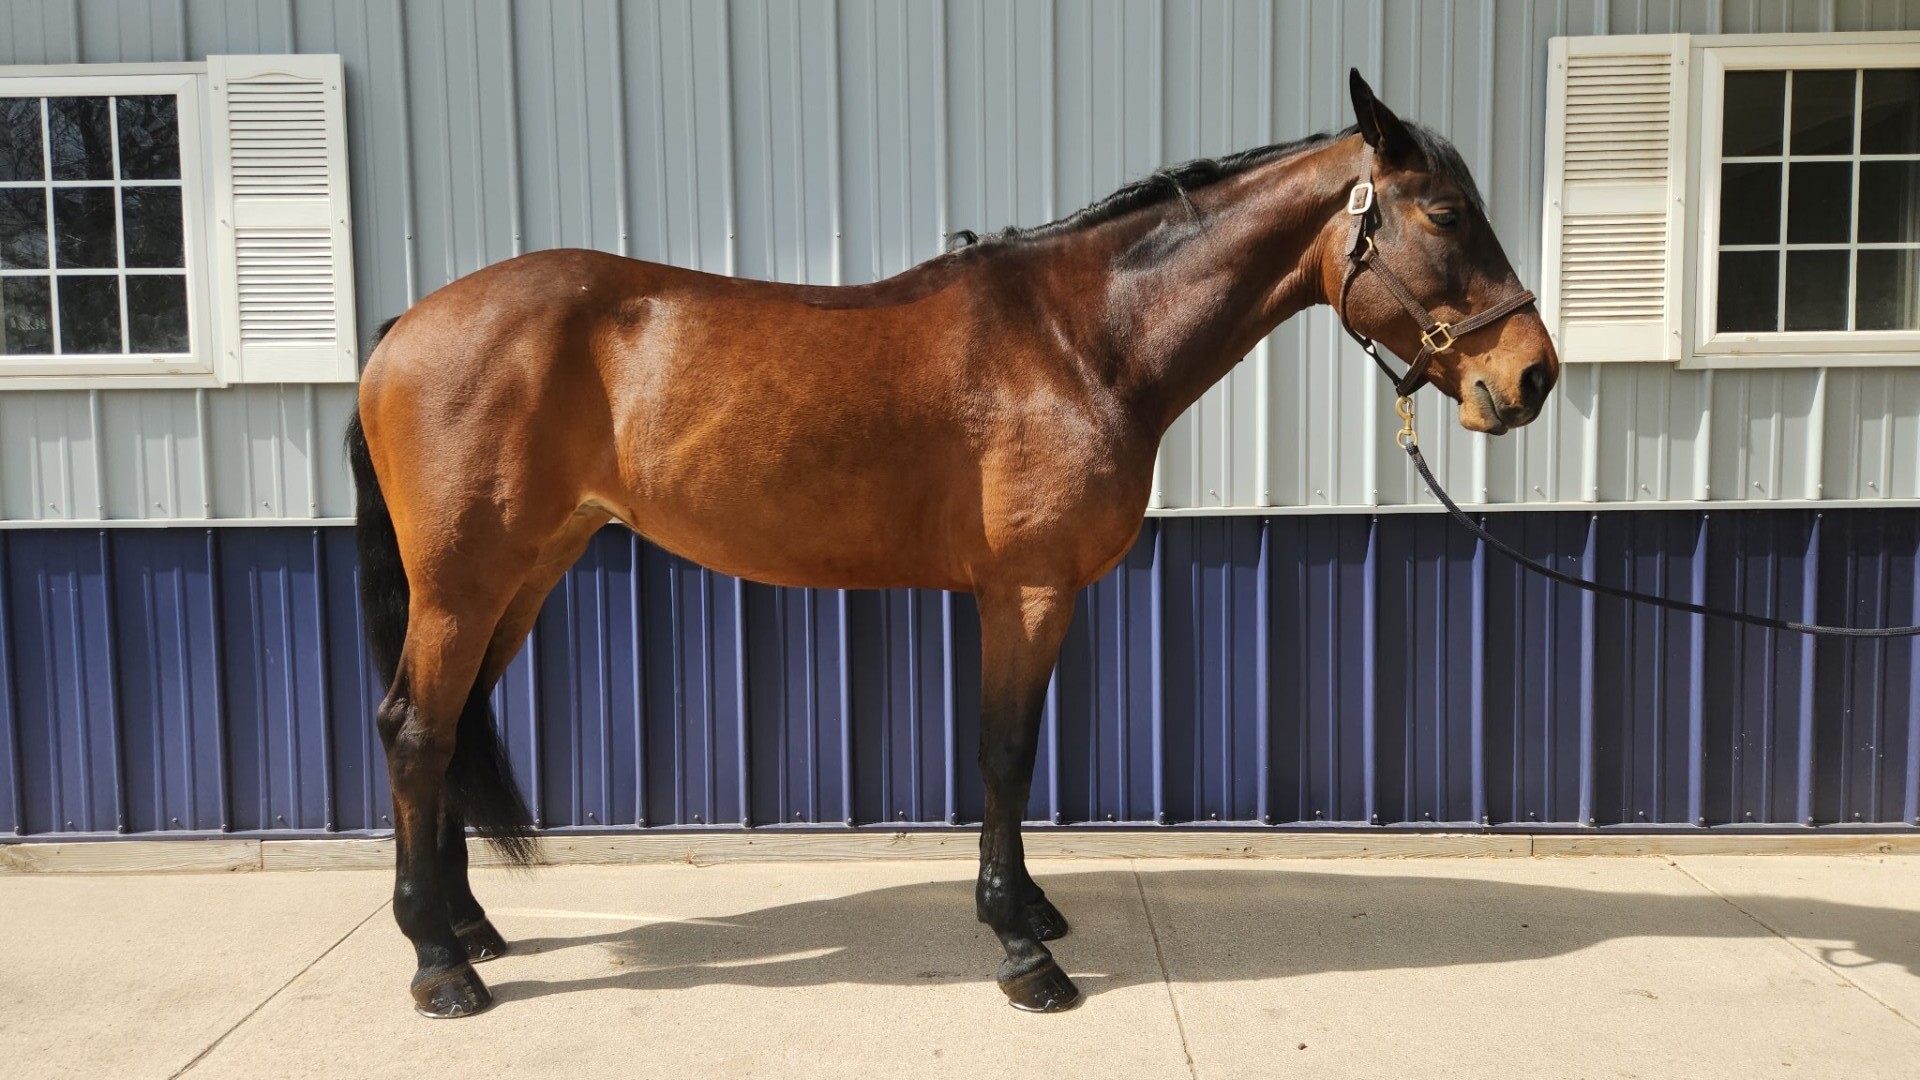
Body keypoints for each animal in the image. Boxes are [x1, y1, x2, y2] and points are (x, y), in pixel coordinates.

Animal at [344, 70, 1557, 1018]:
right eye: (1448, 214)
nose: (1532, 376)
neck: (1079, 340)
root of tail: (404, 327)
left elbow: (1012, 757)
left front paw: (1033, 914)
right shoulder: (1026, 591)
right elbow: (1003, 754)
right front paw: (1021, 949)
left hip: (522, 574)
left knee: (451, 730)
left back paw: (472, 927)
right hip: (463, 584)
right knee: (414, 731)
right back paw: (440, 963)